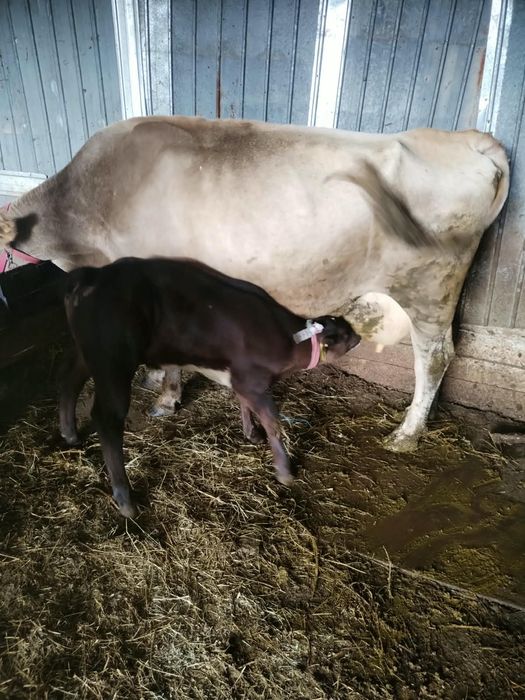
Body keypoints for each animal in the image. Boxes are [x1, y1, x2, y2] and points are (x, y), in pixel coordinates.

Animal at [0, 116, 510, 451]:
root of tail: (468, 140)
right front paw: (154, 379)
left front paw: (166, 397)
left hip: (430, 287)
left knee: (435, 356)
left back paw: (406, 434)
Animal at [59, 256, 361, 517]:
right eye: (343, 335)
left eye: (346, 326)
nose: (359, 337)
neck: (288, 341)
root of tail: (92, 275)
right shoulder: (253, 382)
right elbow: (273, 423)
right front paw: (285, 471)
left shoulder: (241, 380)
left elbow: (244, 406)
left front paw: (251, 434)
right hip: (113, 362)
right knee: (106, 418)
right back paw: (125, 499)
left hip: (87, 354)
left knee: (68, 380)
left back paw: (70, 434)